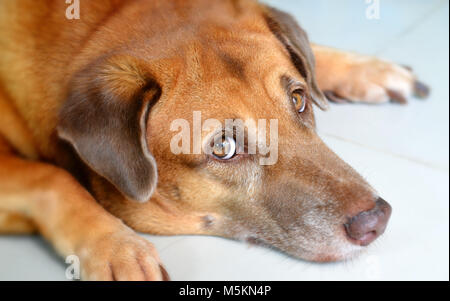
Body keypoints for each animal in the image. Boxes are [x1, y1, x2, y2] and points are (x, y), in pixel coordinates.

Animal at [0, 0, 428, 278]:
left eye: (299, 99)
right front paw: (118, 249)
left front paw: (365, 67)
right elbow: (53, 177)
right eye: (224, 147)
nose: (377, 221)